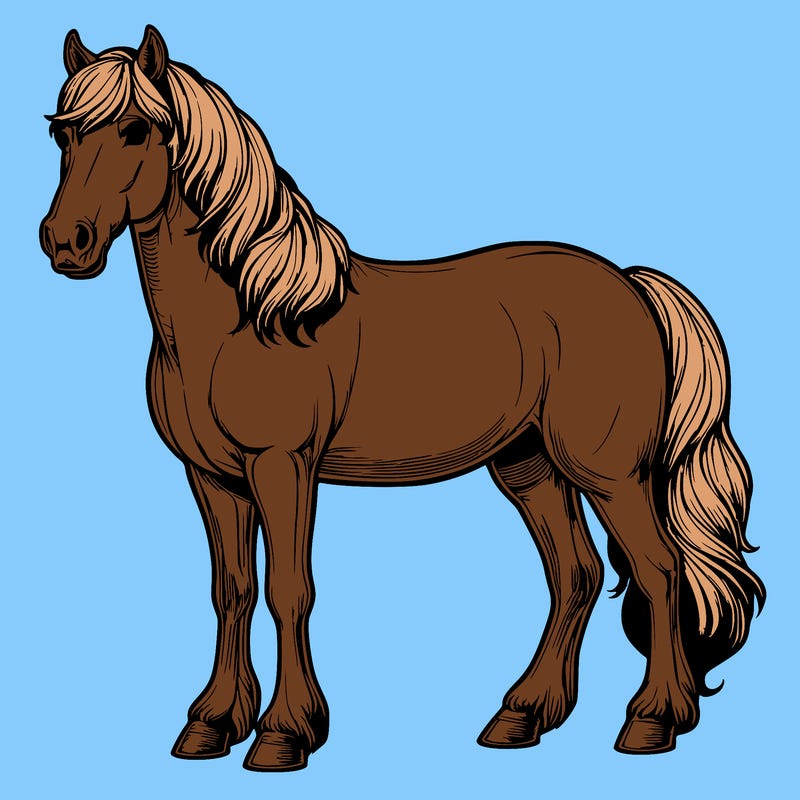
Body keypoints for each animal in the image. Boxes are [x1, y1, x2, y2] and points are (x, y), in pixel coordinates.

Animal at [40, 26, 764, 771]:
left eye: (135, 129)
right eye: (62, 132)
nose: (66, 242)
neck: (248, 315)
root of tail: (629, 283)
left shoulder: (283, 466)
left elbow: (287, 590)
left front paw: (283, 734)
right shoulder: (213, 478)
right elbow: (231, 591)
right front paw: (212, 723)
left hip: (610, 474)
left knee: (660, 570)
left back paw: (653, 721)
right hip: (530, 467)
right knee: (577, 575)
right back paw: (523, 715)